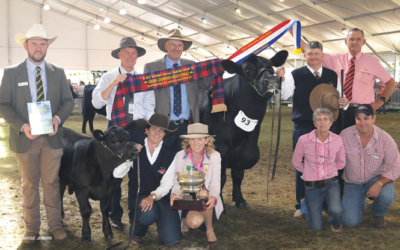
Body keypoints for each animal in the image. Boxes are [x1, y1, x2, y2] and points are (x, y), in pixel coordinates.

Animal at [199, 52, 288, 207]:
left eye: (271, 68)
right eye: (247, 70)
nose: (272, 81)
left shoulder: (246, 150)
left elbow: (238, 175)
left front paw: (240, 200)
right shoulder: (220, 147)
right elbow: (221, 178)